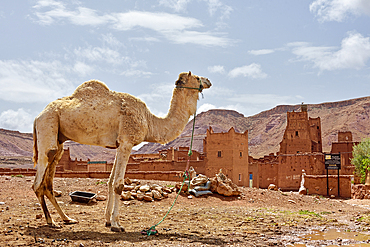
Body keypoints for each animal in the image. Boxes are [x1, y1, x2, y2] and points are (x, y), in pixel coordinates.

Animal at [32, 71, 211, 232]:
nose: (208, 80)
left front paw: (107, 220)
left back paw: (67, 219)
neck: (149, 121)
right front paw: (117, 224)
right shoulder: (127, 141)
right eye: (197, 77)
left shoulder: (119, 144)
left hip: (59, 139)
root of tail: (37, 117)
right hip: (47, 126)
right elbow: (119, 184)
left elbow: (111, 181)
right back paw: (51, 222)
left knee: (49, 181)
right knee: (38, 181)